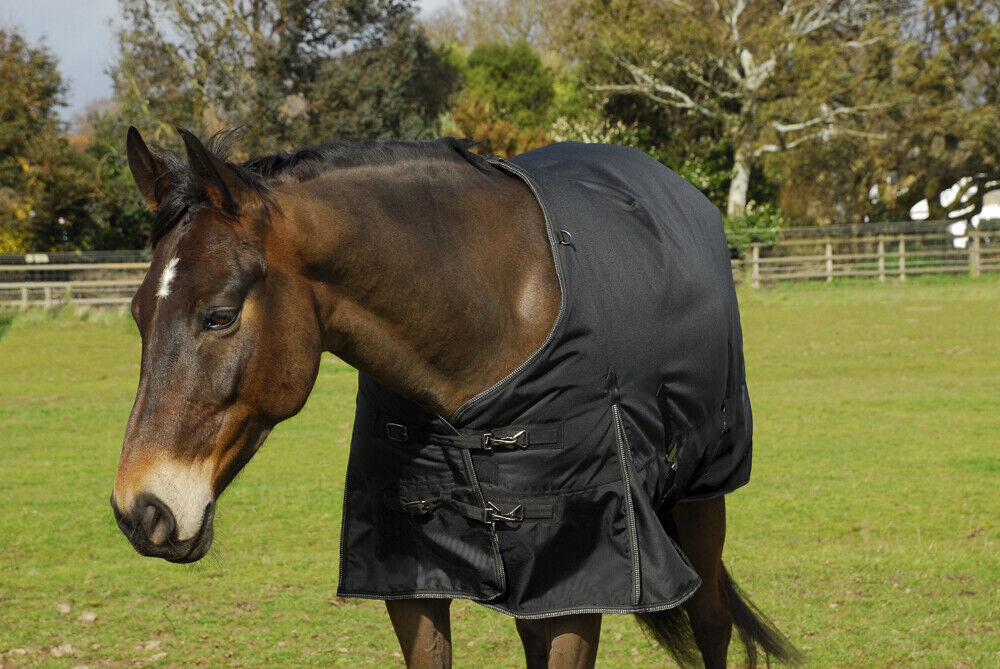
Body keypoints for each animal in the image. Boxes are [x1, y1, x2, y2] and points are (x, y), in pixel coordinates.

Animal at [111, 126, 800, 668]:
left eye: (220, 316)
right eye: (139, 315)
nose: (140, 510)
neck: (491, 315)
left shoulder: (583, 572)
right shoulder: (413, 575)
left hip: (704, 488)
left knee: (712, 622)